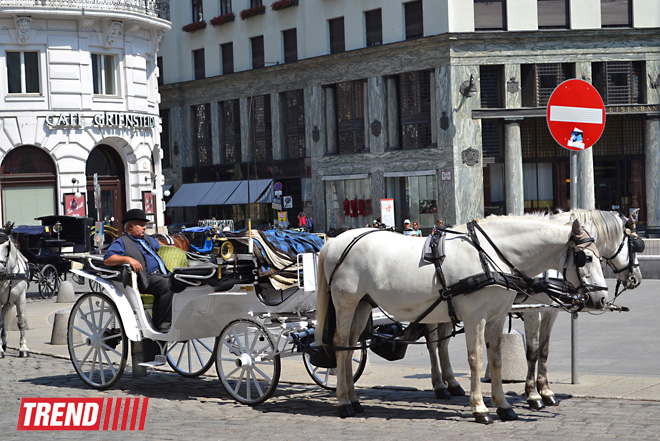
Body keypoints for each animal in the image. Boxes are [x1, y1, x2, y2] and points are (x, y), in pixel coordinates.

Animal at [316, 217, 608, 422]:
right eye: (585, 257)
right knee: (340, 345)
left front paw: (504, 406)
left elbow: (497, 360)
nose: (601, 299)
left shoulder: (496, 318)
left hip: (363, 305)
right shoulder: (475, 318)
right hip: (346, 303)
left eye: (600, 257)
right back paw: (343, 402)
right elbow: (476, 360)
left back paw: (354, 399)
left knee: (351, 345)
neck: (490, 257)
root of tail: (333, 241)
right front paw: (480, 408)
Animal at [422, 208, 644, 408]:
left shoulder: (549, 311)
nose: (636, 279)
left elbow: (544, 351)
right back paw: (440, 385)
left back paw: (452, 384)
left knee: (442, 345)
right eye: (635, 244)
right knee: (433, 345)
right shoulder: (533, 310)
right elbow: (532, 351)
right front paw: (533, 394)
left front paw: (545, 391)